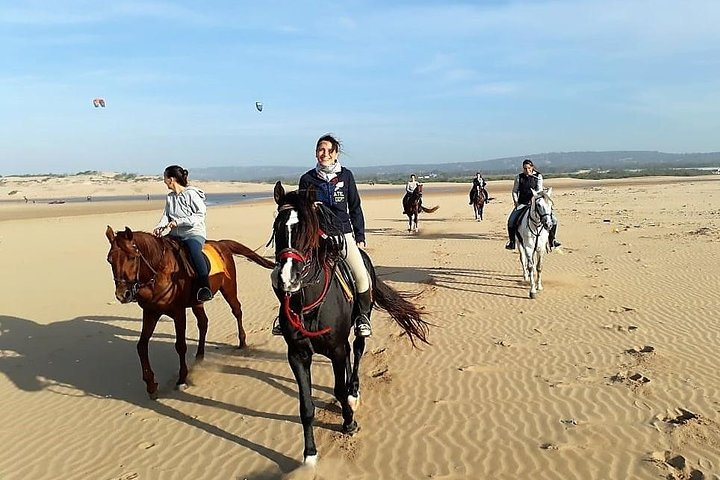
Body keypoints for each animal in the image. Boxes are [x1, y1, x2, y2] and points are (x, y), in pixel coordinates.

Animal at [105, 227, 276, 400]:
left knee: (237, 311)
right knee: (203, 323)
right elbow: (141, 346)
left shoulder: (178, 313)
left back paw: (242, 342)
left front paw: (182, 379)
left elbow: (180, 346)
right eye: (110, 260)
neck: (160, 272)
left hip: (228, 288)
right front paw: (151, 385)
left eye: (132, 257)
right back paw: (199, 357)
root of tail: (221, 244)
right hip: (197, 302)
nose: (122, 294)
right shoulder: (150, 313)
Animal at [268, 182, 428, 466]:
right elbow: (305, 406)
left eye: (307, 230)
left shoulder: (336, 350)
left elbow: (340, 388)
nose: (287, 279)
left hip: (360, 322)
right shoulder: (297, 355)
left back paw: (354, 391)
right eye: (278, 228)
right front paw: (310, 453)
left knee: (359, 349)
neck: (310, 304)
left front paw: (349, 423)